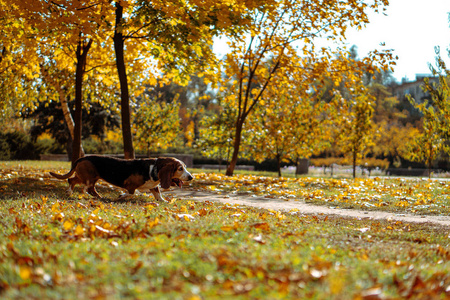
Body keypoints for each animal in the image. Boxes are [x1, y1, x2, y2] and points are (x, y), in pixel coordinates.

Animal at [49, 155, 193, 202]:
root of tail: (82, 157)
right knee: (80, 184)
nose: (191, 177)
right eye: (180, 168)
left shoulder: (153, 186)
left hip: (91, 177)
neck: (154, 168)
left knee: (76, 182)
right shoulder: (130, 185)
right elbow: (132, 193)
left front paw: (164, 201)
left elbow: (158, 194)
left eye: (185, 167)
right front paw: (121, 196)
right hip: (88, 178)